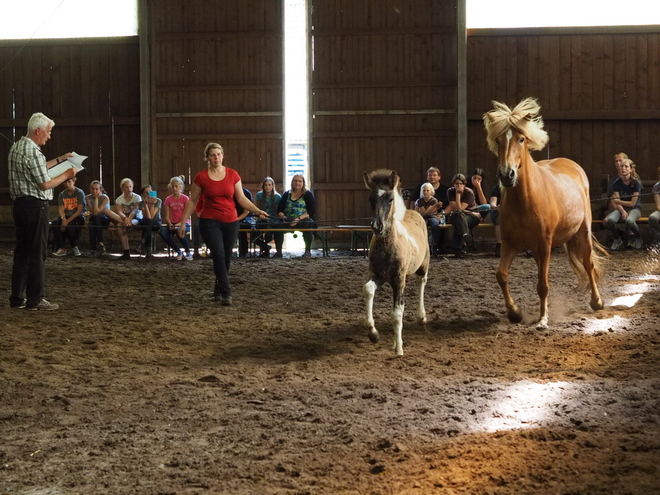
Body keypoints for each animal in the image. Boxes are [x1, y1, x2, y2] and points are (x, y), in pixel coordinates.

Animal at [364, 170, 430, 356]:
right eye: (370, 199)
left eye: (390, 199)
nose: (377, 226)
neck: (388, 246)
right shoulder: (377, 276)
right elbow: (368, 289)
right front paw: (373, 334)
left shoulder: (399, 280)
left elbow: (397, 314)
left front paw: (399, 348)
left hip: (423, 266)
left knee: (421, 282)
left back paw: (421, 316)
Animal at [484, 97, 604, 330]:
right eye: (498, 139)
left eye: (521, 139)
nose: (507, 175)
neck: (525, 201)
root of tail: (573, 166)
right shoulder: (510, 244)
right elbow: (501, 275)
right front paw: (515, 313)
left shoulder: (545, 244)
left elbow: (543, 285)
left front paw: (542, 320)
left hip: (582, 232)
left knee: (588, 263)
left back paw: (597, 302)